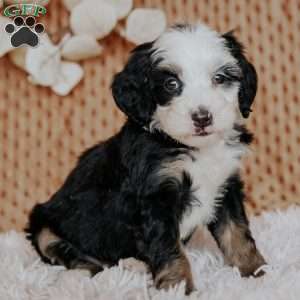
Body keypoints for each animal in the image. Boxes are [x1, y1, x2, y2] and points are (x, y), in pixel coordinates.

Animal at [25, 24, 264, 296]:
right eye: (171, 84)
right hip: (43, 222)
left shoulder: (226, 185)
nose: (202, 118)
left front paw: (256, 271)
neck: (191, 147)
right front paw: (177, 288)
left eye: (220, 78)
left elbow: (237, 233)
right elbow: (169, 248)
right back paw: (80, 277)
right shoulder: (155, 197)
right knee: (71, 254)